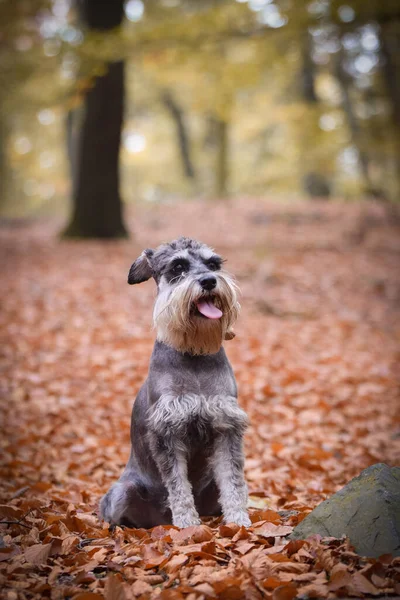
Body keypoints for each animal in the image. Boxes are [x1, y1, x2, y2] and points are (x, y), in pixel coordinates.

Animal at [100, 237, 250, 528]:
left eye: (213, 264)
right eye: (178, 267)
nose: (209, 280)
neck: (194, 354)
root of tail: (158, 520)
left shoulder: (226, 425)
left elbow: (233, 481)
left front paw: (238, 519)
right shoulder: (167, 430)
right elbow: (178, 484)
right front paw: (187, 524)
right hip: (123, 492)